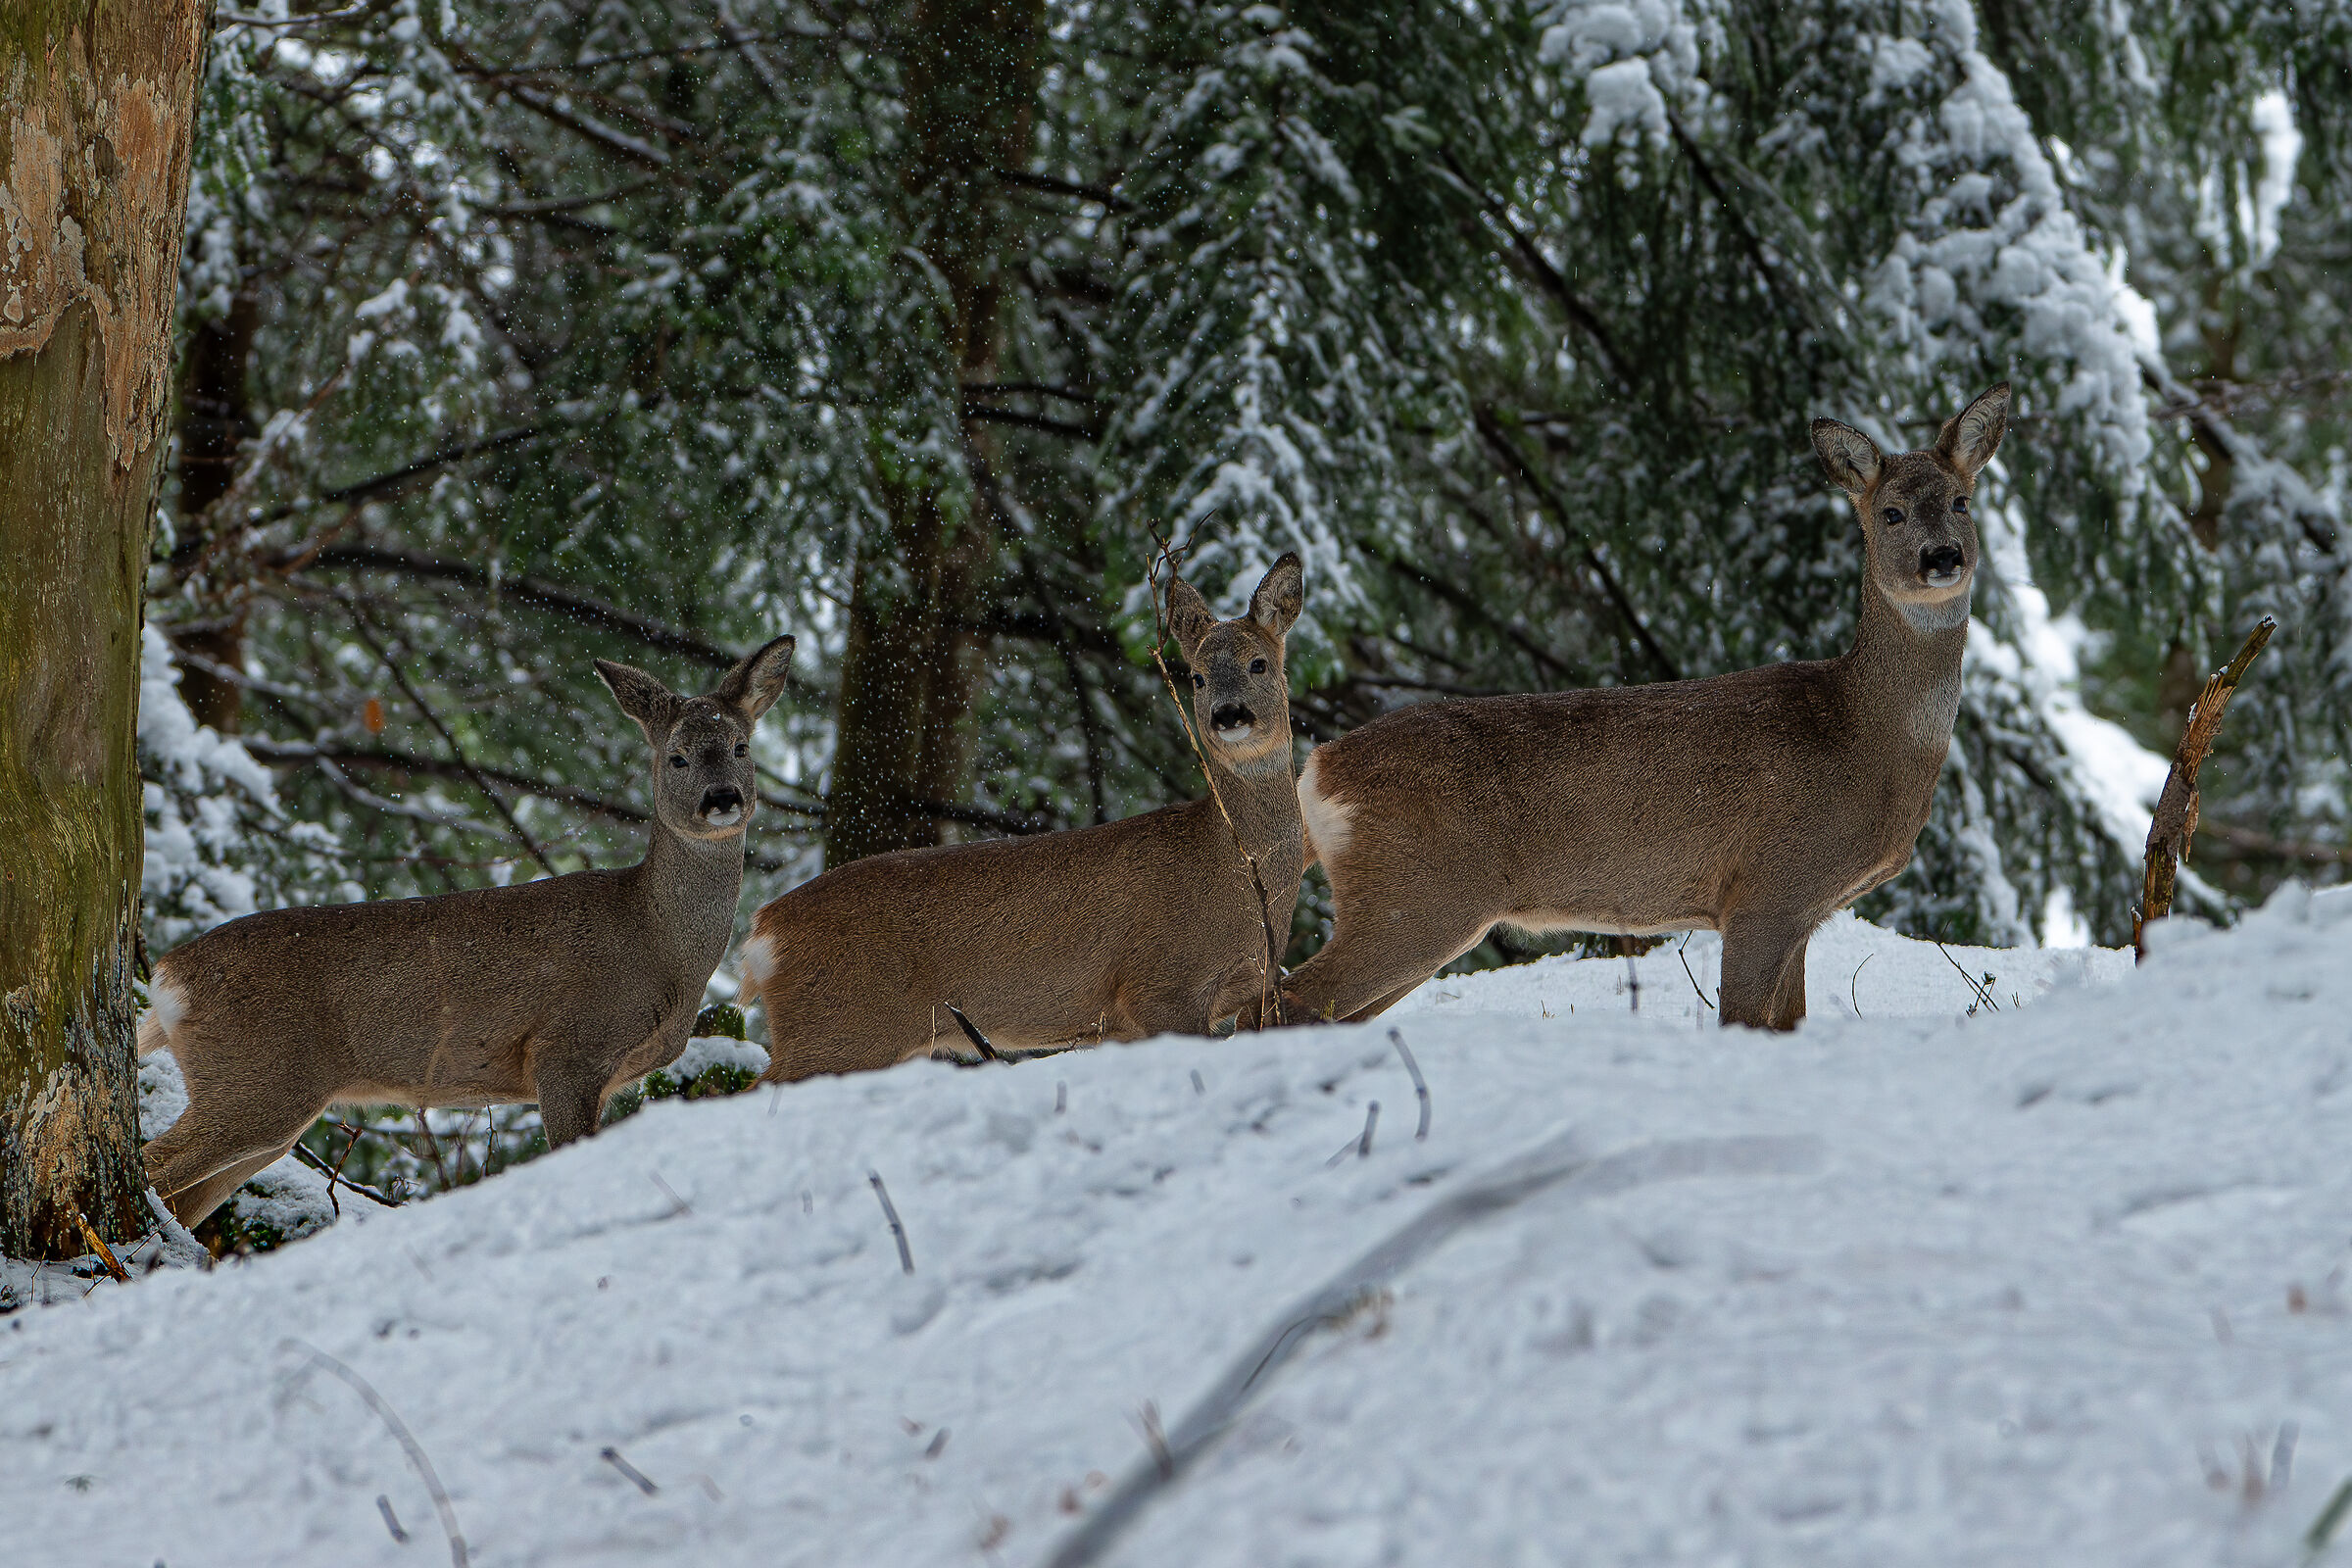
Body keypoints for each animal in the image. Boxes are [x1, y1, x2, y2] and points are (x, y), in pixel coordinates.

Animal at [137, 634, 796, 1225]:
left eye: (742, 746)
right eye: (676, 756)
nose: (722, 797)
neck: (659, 945)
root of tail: (168, 976)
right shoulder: (565, 1049)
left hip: (262, 1102)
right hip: (256, 1080)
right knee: (149, 1163)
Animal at [744, 556, 1307, 1081]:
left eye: (1259, 664)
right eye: (1197, 675)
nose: (1229, 715)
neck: (1233, 870)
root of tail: (763, 932)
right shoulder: (1160, 986)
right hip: (842, 1031)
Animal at [1278, 384, 2009, 1032]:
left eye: (1961, 501)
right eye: (1891, 513)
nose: (1942, 556)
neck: (1861, 732)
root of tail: (1318, 768)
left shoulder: (1802, 911)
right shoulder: (1767, 887)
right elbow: (1743, 1020)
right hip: (1416, 894)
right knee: (1291, 998)